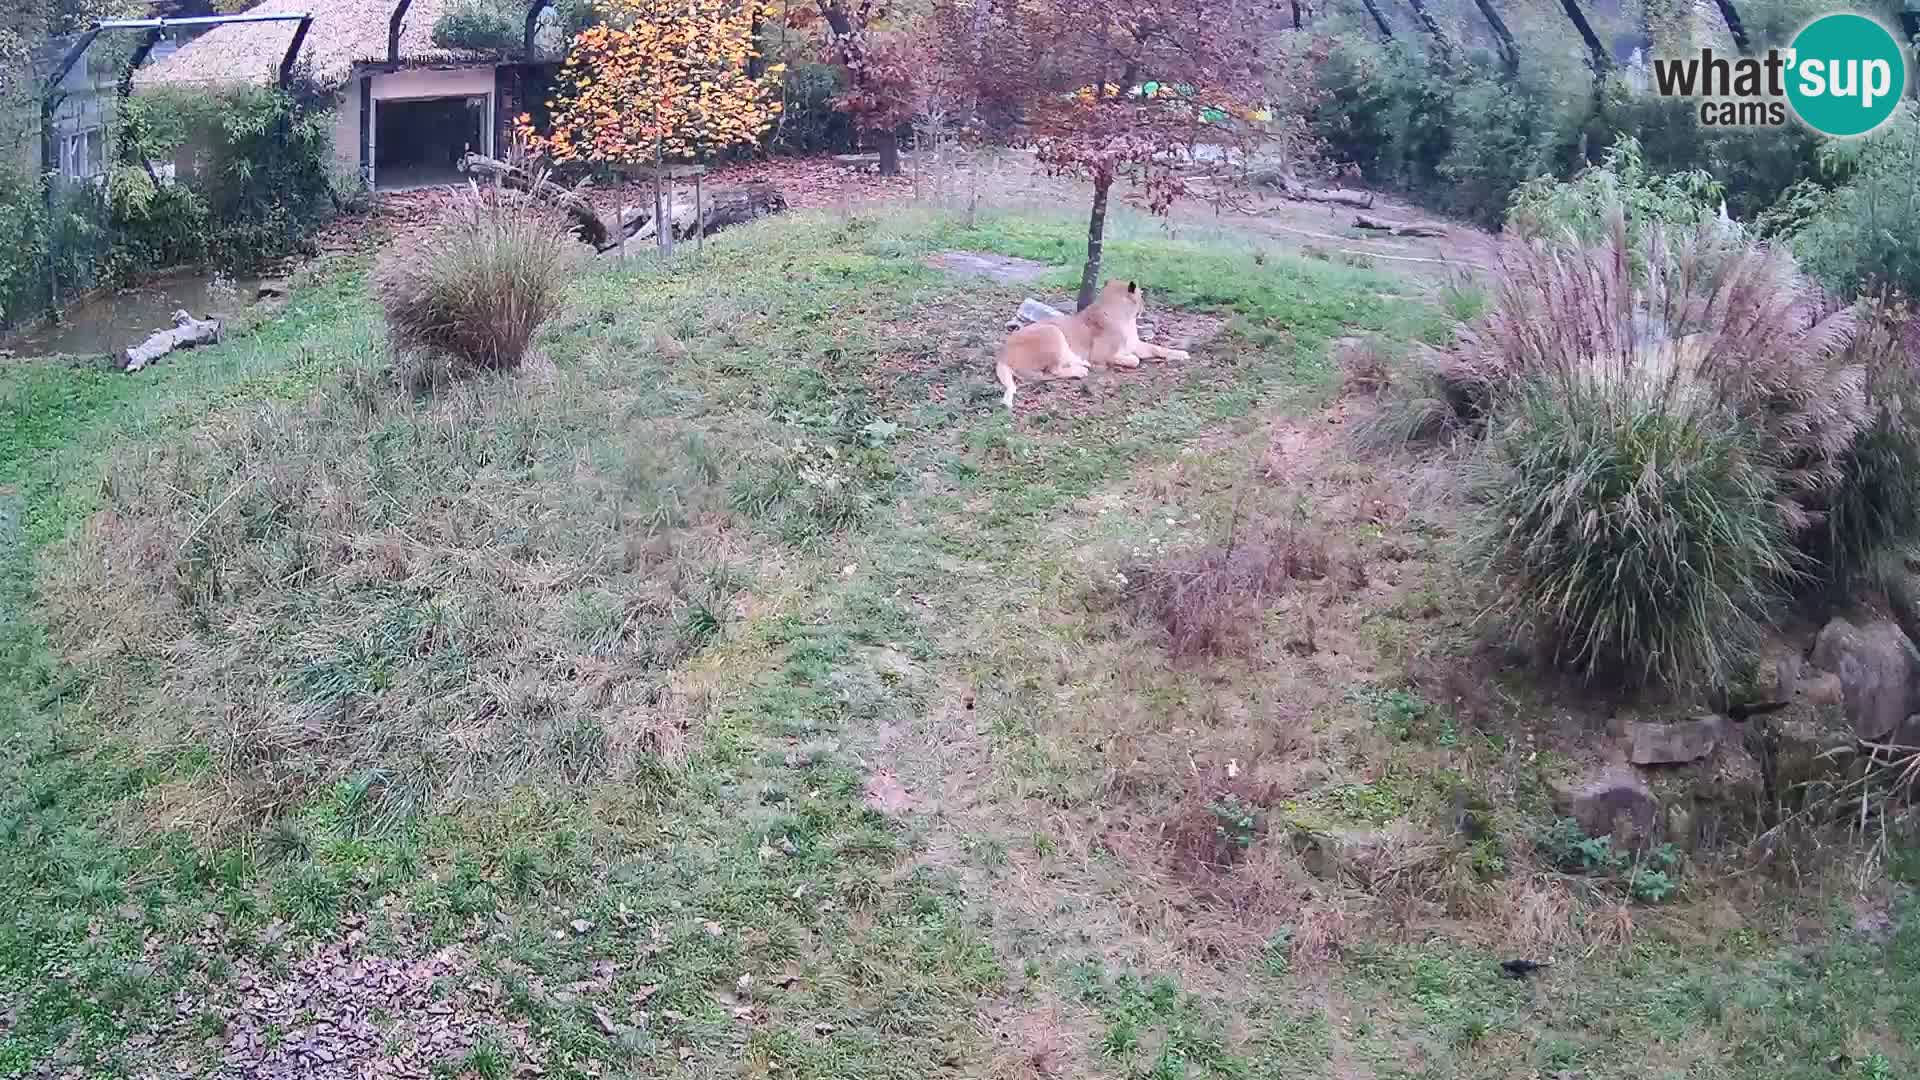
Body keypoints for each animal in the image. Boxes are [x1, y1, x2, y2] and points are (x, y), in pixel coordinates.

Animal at [994, 280, 1190, 409]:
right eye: (1141, 295)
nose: (1144, 308)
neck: (1126, 317)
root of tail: (1002, 355)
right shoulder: (1101, 355)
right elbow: (1134, 360)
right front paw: (1126, 360)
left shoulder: (1135, 343)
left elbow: (1158, 348)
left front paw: (1181, 354)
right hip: (1052, 331)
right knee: (1050, 372)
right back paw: (1081, 369)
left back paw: (1080, 363)